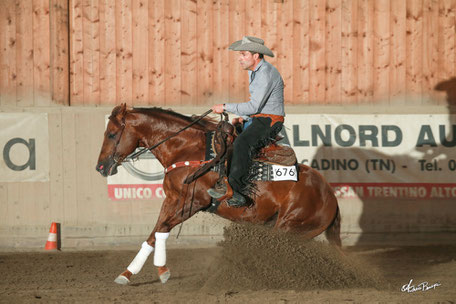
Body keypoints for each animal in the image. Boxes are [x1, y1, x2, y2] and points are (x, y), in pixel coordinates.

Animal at [95, 104, 338, 284]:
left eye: (112, 134)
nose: (100, 167)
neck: (187, 150)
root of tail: (331, 198)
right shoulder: (172, 200)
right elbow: (155, 233)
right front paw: (129, 274)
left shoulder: (194, 203)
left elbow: (162, 229)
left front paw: (161, 270)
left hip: (289, 227)